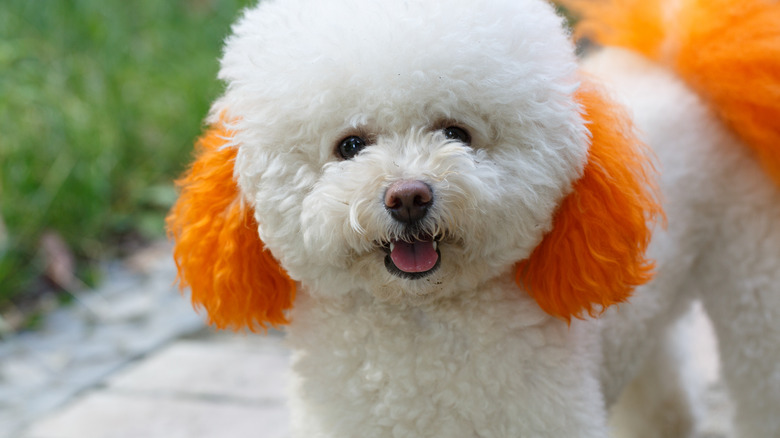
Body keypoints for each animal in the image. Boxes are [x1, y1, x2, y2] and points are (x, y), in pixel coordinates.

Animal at [166, 0, 780, 434]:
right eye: (350, 146)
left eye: (456, 132)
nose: (408, 197)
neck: (418, 325)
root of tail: (679, 61)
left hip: (754, 283)